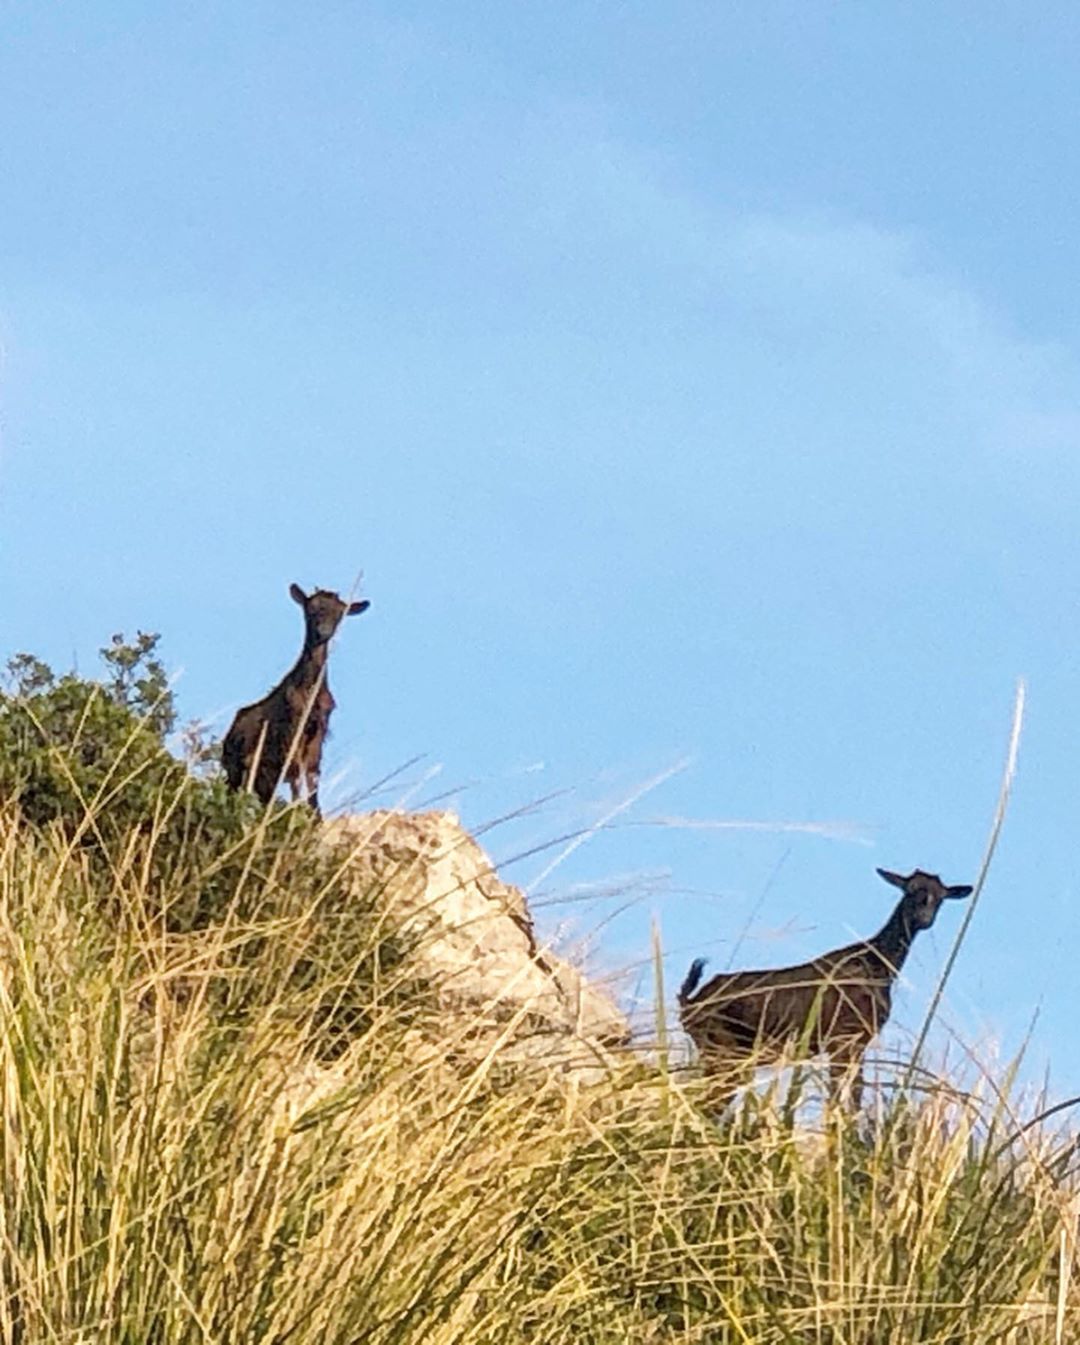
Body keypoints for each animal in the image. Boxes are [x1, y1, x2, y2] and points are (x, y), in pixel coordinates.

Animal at [222, 584, 370, 816]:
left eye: (340, 614)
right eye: (311, 609)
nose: (323, 631)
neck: (310, 692)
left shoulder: (318, 732)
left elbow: (312, 774)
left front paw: (316, 814)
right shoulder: (292, 732)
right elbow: (296, 774)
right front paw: (297, 810)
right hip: (237, 769)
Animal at [678, 867, 973, 1110]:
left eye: (941, 896)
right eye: (909, 890)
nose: (923, 918)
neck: (878, 966)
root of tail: (688, 1002)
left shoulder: (858, 1043)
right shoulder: (841, 1039)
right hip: (723, 1052)